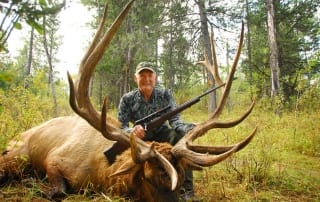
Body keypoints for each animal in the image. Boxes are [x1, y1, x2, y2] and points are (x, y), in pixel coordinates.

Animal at [0, 0, 256, 201]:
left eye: (182, 175)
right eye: (149, 176)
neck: (101, 171)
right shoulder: (54, 160)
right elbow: (59, 189)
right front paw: (40, 187)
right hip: (15, 155)